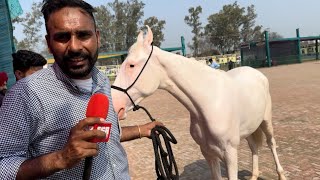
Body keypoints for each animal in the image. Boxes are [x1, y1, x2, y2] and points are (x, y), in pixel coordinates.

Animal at [111, 26, 286, 180]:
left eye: (131, 65)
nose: (115, 106)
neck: (209, 103)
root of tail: (255, 71)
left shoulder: (230, 154)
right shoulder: (208, 153)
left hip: (266, 122)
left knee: (271, 143)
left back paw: (281, 174)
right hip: (249, 128)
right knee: (254, 147)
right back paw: (254, 175)